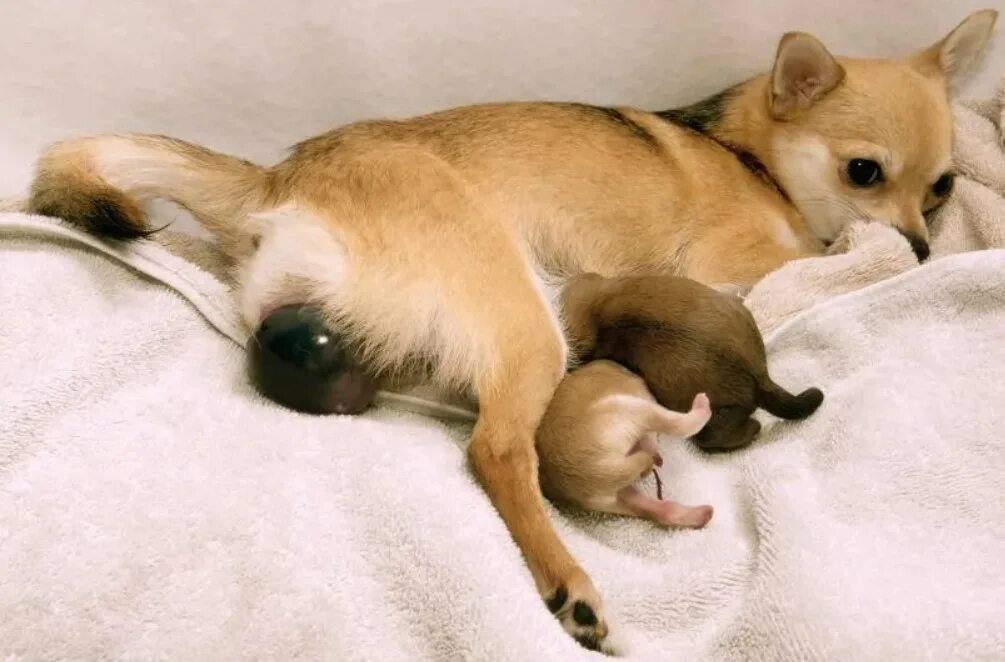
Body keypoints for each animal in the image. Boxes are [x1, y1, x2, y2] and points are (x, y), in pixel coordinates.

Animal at [536, 360, 714, 530]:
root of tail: (585, 472)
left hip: (618, 497)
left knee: (660, 511)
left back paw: (702, 514)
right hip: (633, 408)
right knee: (681, 425)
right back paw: (701, 406)